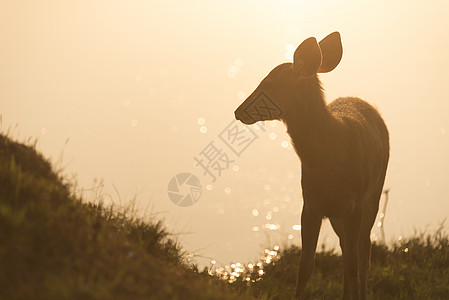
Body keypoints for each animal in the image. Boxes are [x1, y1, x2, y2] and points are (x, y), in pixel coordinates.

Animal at [234, 31, 388, 298]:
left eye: (269, 83)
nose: (238, 111)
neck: (329, 160)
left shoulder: (354, 202)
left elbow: (353, 262)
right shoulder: (311, 203)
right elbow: (305, 266)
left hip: (374, 194)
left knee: (363, 251)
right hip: (338, 215)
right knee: (347, 248)